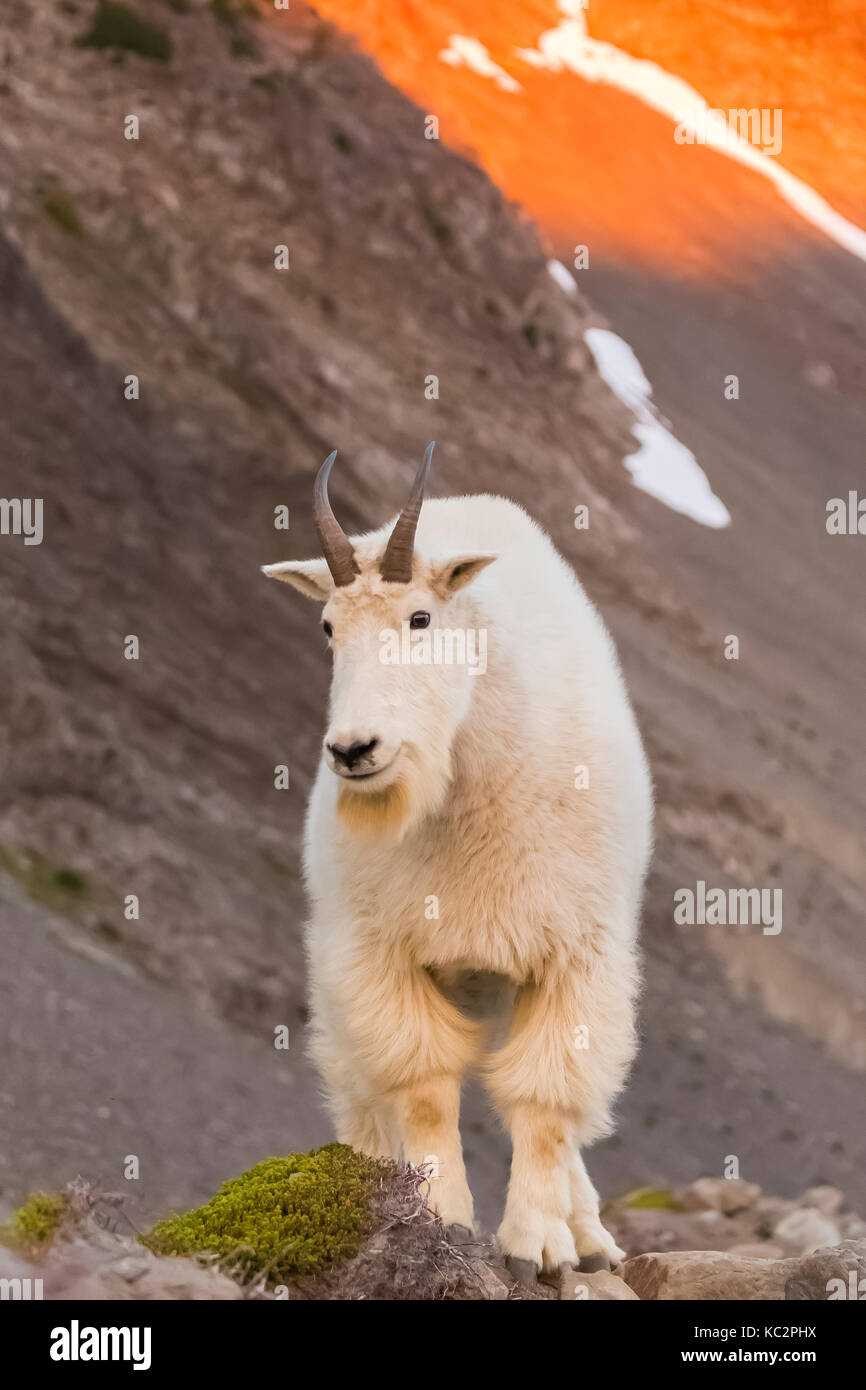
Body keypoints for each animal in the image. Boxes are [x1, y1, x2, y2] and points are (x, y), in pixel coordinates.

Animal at [261, 447, 653, 1278]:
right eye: (328, 626)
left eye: (420, 618)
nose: (355, 750)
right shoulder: (378, 953)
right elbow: (423, 1089)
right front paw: (436, 1215)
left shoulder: (574, 953)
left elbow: (545, 1101)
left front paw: (540, 1242)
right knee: (359, 1094)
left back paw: (589, 1234)